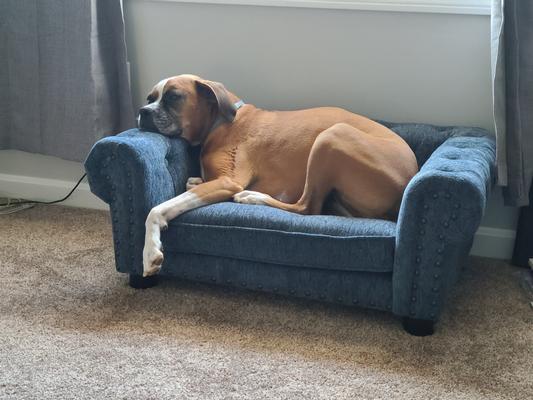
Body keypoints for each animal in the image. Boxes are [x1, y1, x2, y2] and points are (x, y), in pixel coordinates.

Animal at [139, 75, 418, 276]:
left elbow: (157, 208)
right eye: (150, 97)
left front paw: (150, 251)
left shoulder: (228, 182)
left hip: (332, 134)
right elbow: (190, 184)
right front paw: (194, 179)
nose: (143, 111)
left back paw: (253, 197)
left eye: (174, 96)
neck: (221, 121)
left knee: (306, 208)